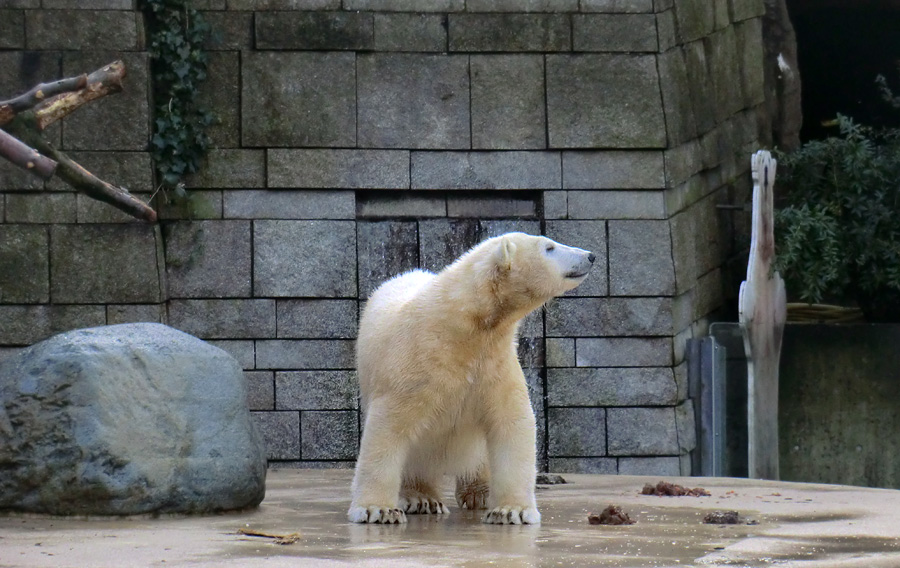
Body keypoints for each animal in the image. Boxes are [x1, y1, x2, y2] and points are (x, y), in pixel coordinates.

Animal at [352, 231, 596, 524]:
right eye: (549, 247)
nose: (590, 256)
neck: (464, 326)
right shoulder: (416, 361)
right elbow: (389, 427)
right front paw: (378, 509)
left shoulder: (494, 362)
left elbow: (511, 422)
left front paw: (511, 511)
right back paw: (423, 498)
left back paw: (478, 492)